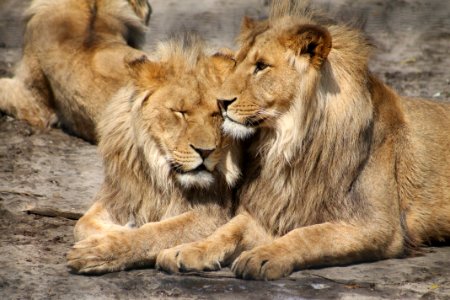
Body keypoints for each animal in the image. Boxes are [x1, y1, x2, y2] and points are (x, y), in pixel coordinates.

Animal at [65, 39, 241, 274]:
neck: (159, 173)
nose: (206, 151)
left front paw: (100, 250)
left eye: (218, 113)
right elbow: (82, 224)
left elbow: (157, 232)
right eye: (180, 112)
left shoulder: (214, 214)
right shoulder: (122, 195)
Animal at [155, 0, 450, 282]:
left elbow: (309, 235)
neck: (290, 146)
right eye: (236, 63)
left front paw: (261, 257)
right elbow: (229, 228)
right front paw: (186, 250)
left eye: (261, 66)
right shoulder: (279, 209)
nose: (221, 102)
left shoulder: (379, 226)